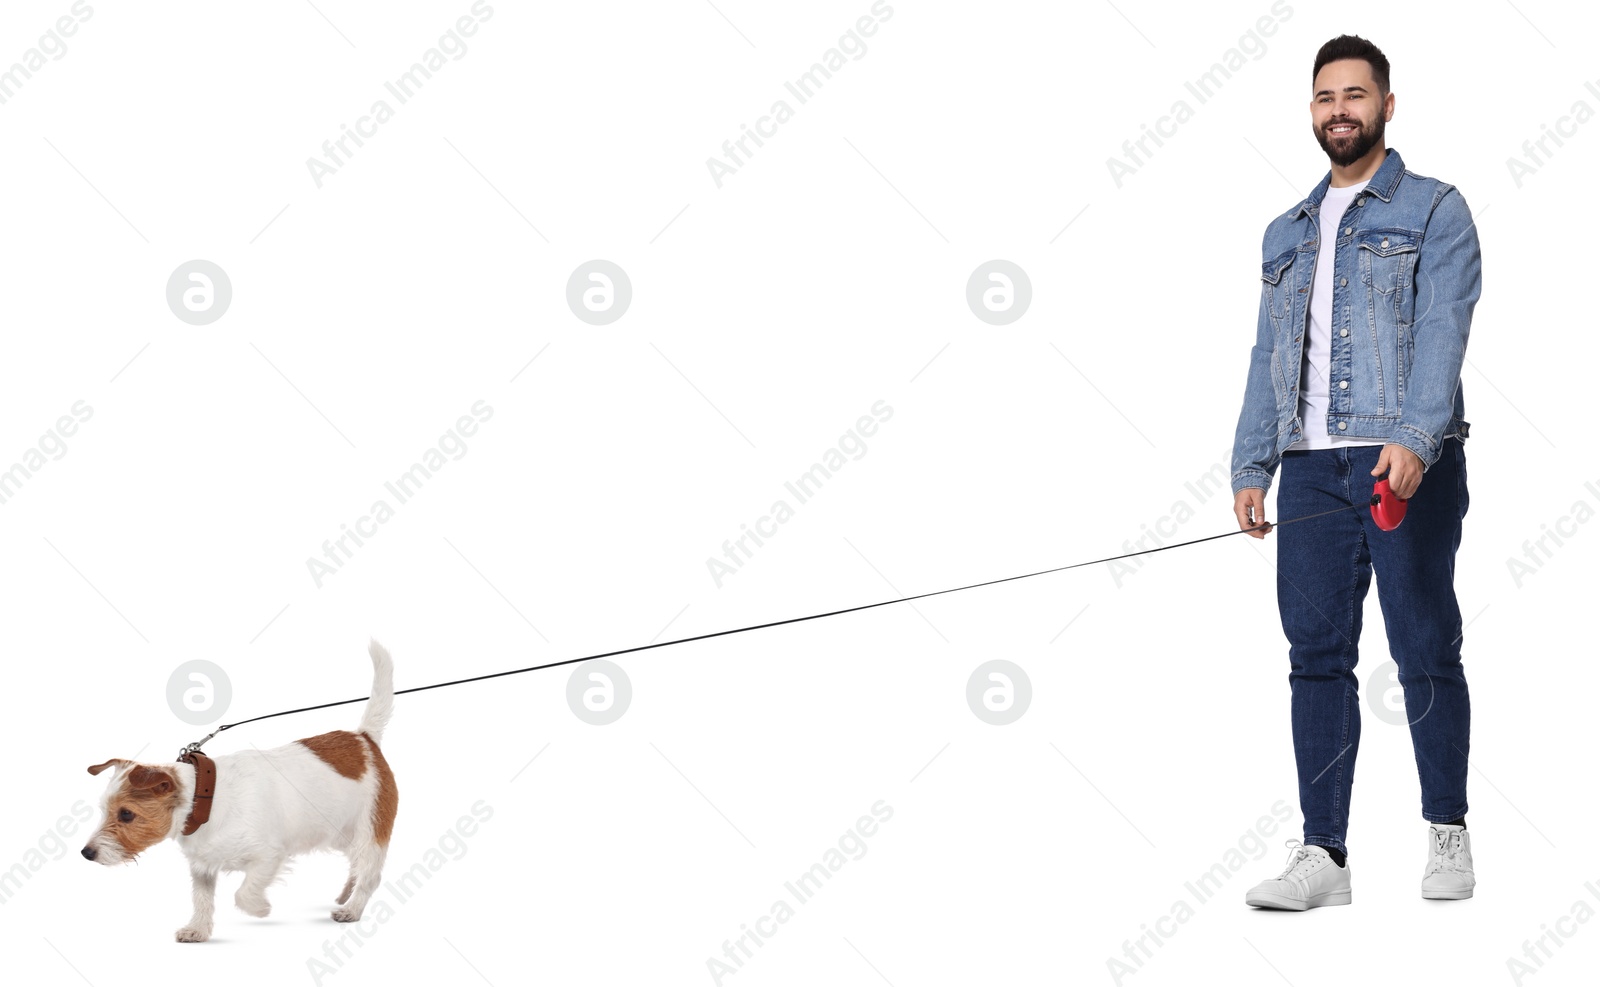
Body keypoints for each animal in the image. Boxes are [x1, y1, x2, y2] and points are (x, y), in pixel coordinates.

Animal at [81, 639, 400, 940]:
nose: (86, 853)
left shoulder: (269, 856)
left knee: (371, 875)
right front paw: (198, 930)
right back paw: (346, 895)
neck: (205, 799)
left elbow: (244, 893)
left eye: (126, 814)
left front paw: (261, 909)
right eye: (104, 811)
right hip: (340, 831)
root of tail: (364, 739)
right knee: (357, 866)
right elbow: (202, 900)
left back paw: (352, 909)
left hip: (370, 831)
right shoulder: (203, 867)